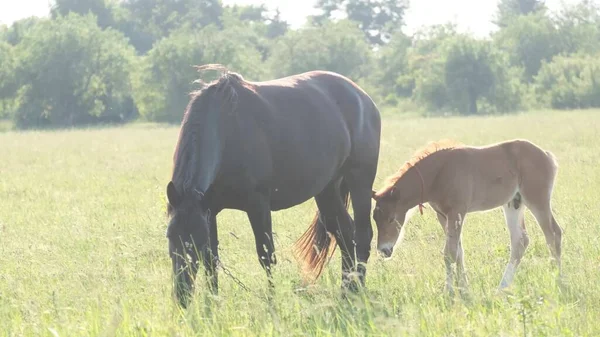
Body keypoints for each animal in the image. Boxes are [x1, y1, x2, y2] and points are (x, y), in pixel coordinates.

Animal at [164, 63, 380, 308]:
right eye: (170, 236)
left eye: (196, 243)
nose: (182, 295)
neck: (226, 129)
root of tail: (363, 98)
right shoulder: (209, 208)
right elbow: (212, 260)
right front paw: (212, 303)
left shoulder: (258, 205)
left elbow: (266, 256)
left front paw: (272, 303)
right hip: (328, 190)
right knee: (345, 235)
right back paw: (347, 292)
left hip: (360, 180)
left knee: (362, 235)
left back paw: (357, 291)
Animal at [370, 138, 564, 294]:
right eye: (375, 219)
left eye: (391, 218)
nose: (384, 250)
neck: (439, 172)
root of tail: (547, 155)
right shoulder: (443, 215)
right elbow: (458, 252)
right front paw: (463, 288)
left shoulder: (457, 212)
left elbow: (449, 253)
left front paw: (449, 292)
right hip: (513, 204)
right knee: (520, 241)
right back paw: (501, 288)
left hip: (537, 200)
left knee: (553, 233)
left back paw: (559, 280)